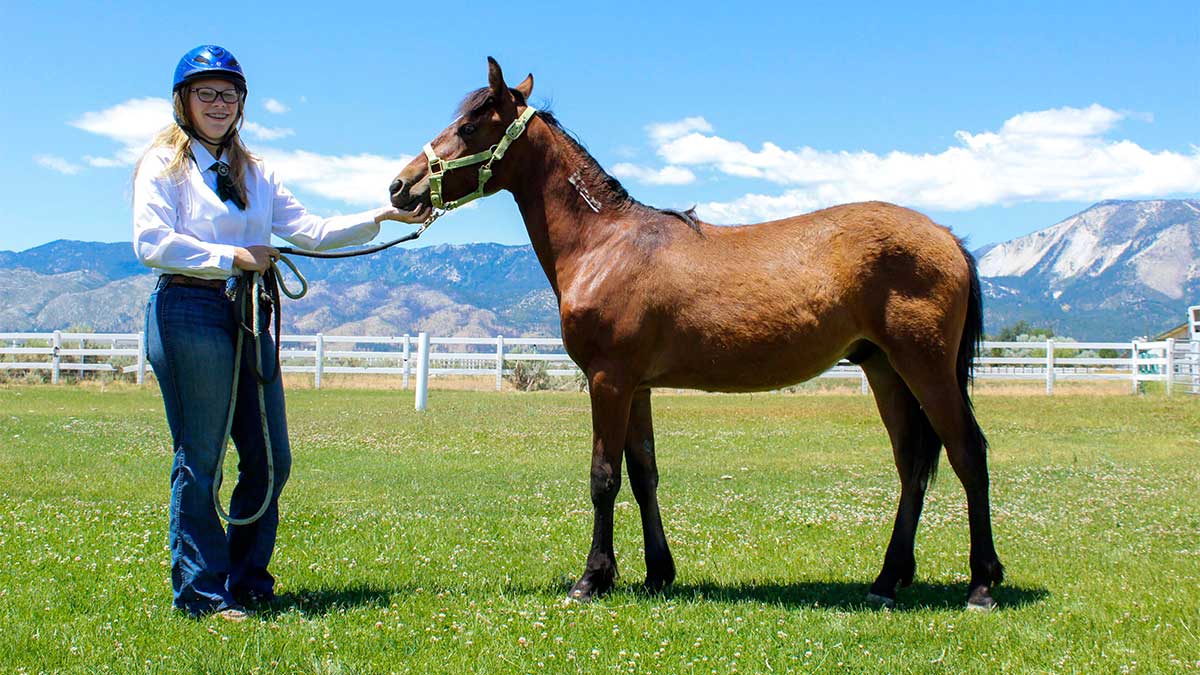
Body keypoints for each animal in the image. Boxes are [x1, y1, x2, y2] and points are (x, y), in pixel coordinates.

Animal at [386, 57, 1003, 607]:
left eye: (469, 126)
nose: (399, 185)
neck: (604, 244)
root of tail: (946, 236)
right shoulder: (636, 387)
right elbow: (644, 474)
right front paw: (657, 573)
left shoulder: (608, 381)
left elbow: (604, 476)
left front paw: (592, 579)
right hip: (884, 369)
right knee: (913, 464)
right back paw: (887, 580)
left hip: (925, 368)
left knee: (967, 453)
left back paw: (981, 585)